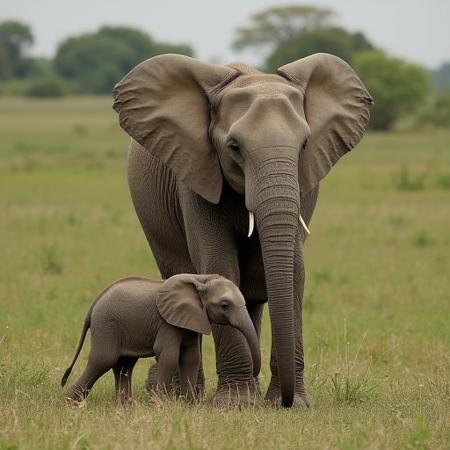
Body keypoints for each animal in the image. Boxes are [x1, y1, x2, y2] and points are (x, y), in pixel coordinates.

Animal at [61, 274, 262, 404]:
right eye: (225, 305)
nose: (254, 372)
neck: (201, 279)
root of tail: (94, 303)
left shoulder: (192, 320)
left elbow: (191, 358)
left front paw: (189, 407)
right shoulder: (167, 323)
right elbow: (169, 356)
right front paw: (162, 406)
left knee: (124, 365)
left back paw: (125, 408)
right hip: (106, 325)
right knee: (104, 359)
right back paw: (71, 404)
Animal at [113, 53, 372, 408]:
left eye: (305, 145)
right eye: (234, 147)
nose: (286, 402)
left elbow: (294, 271)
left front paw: (293, 404)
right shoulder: (196, 176)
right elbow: (220, 268)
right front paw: (237, 404)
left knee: (253, 295)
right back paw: (186, 396)